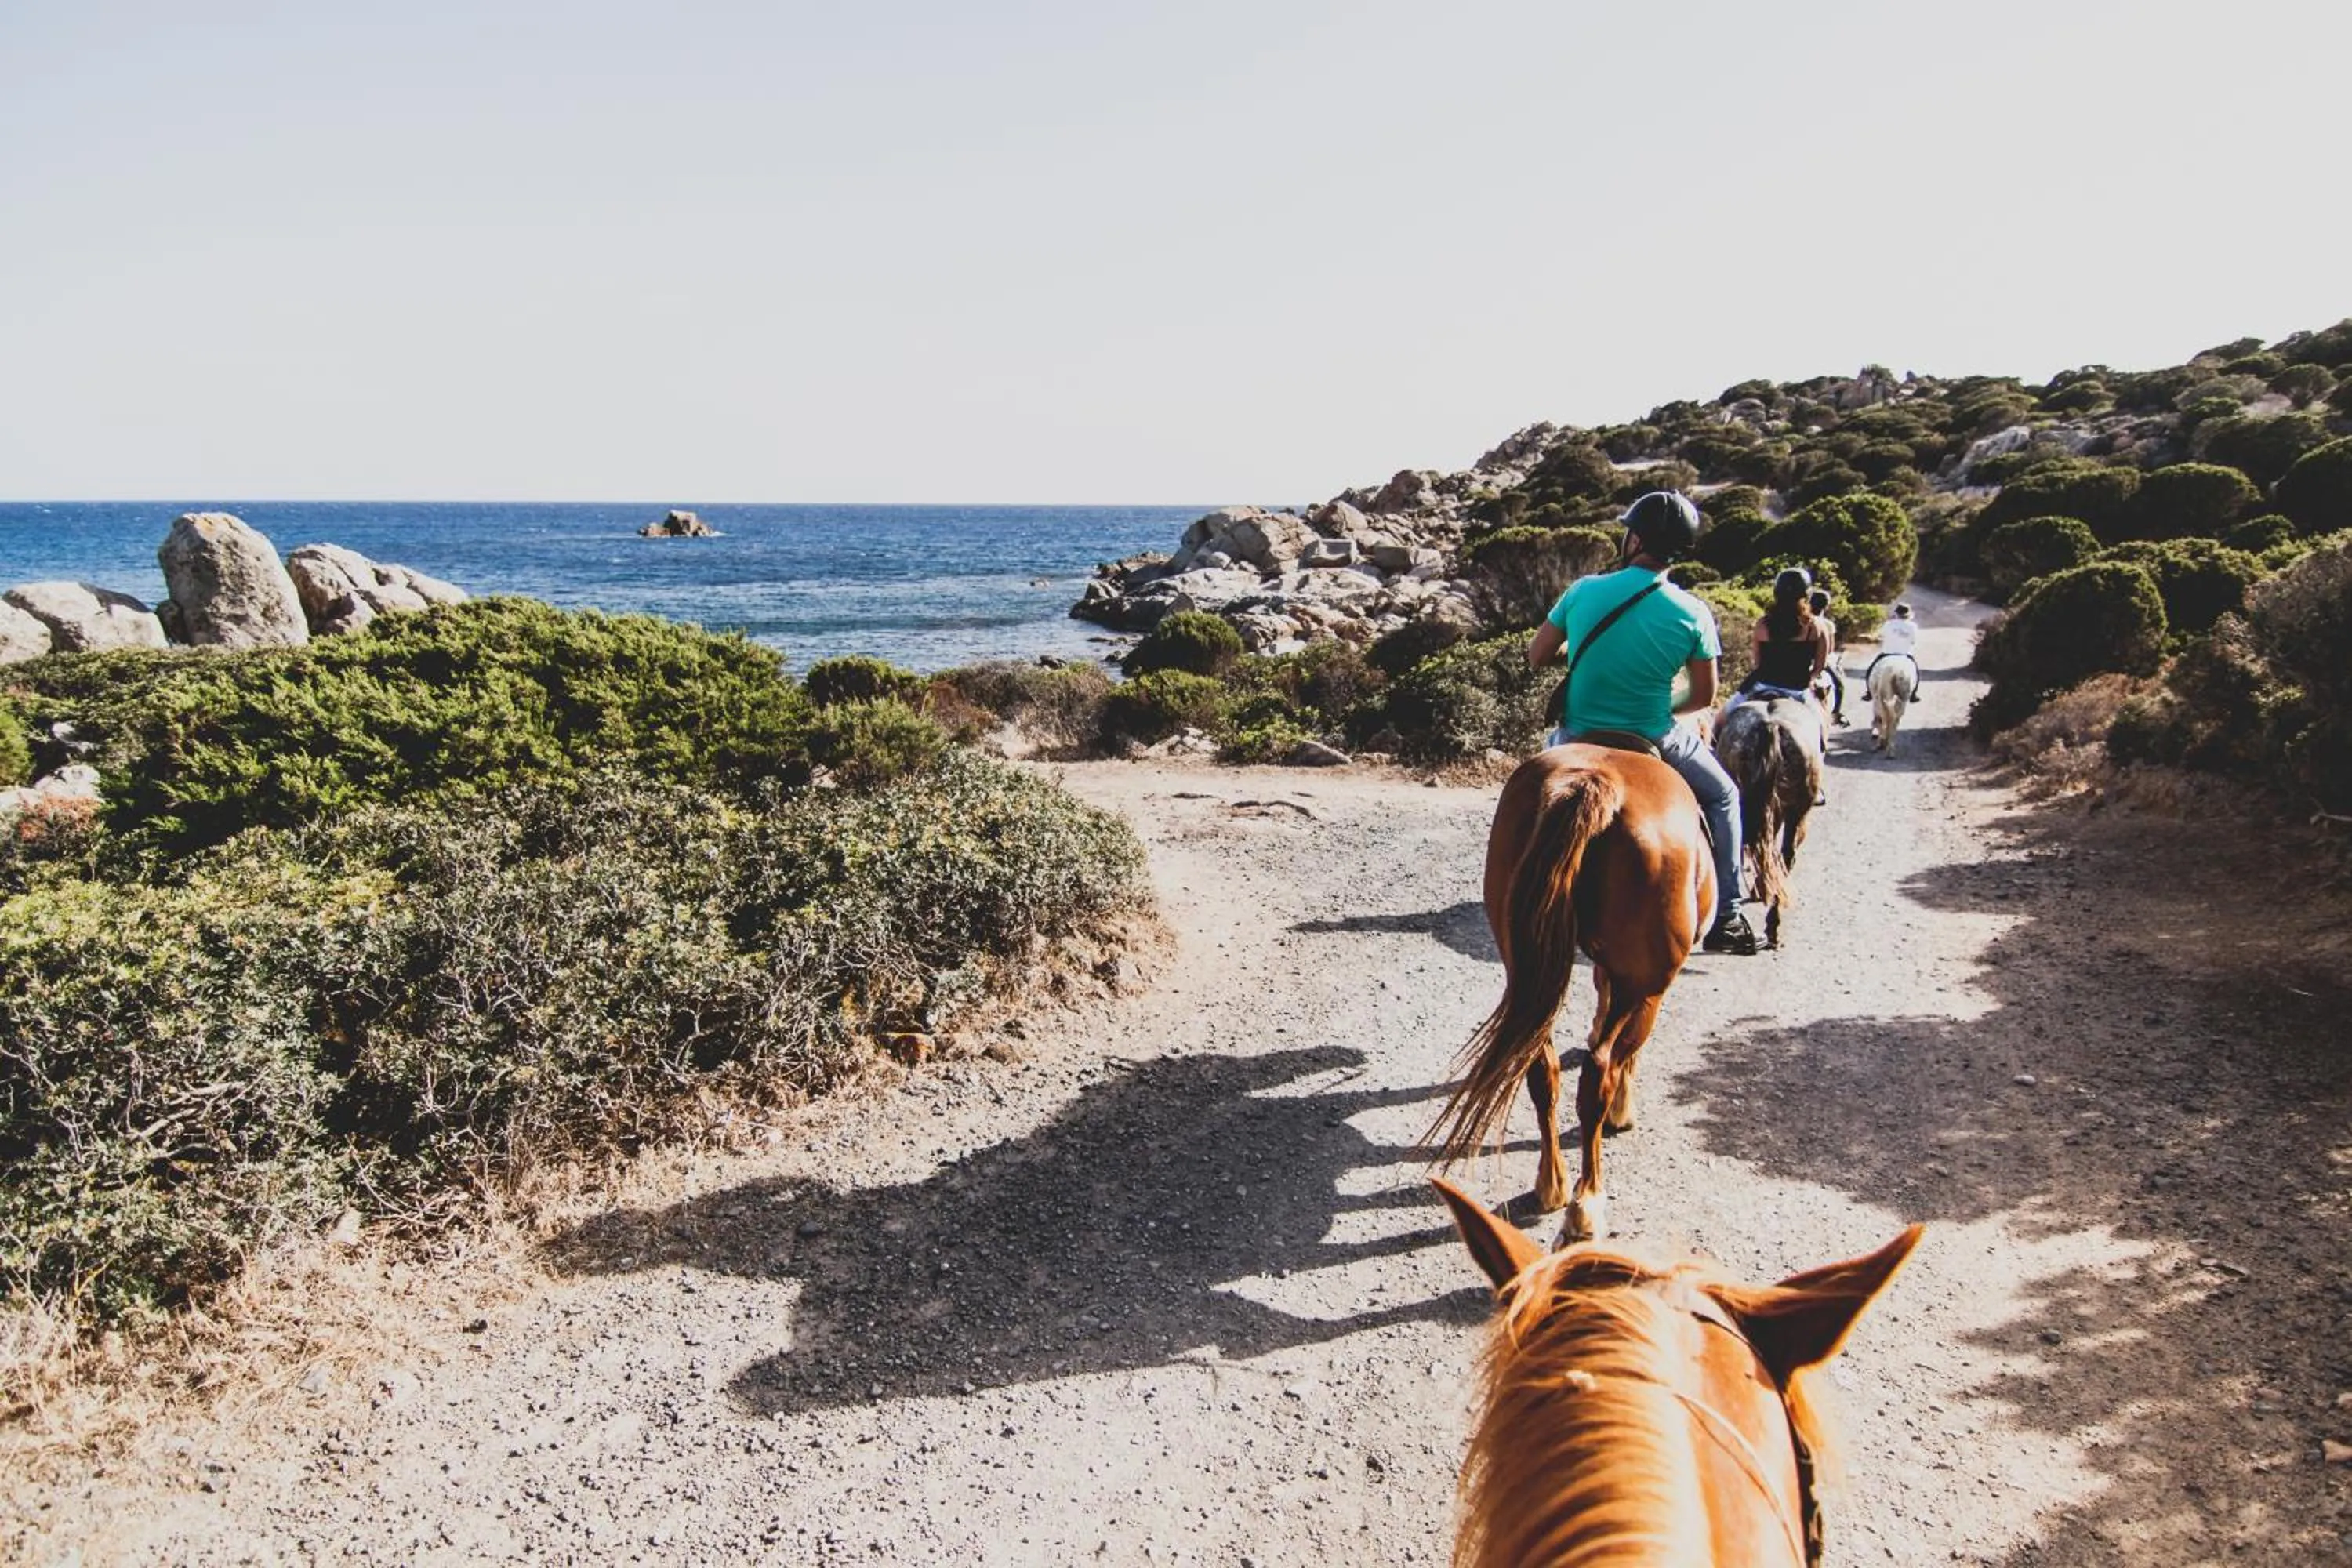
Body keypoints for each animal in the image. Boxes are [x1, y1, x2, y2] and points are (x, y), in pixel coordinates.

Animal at [1431, 743, 1714, 1242]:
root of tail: (1592, 784)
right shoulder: (1645, 992)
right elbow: (1626, 1051)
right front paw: (1624, 1109)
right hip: (1642, 982)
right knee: (1597, 1072)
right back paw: (1586, 1203)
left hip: (1525, 967)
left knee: (1541, 1067)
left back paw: (1552, 1183)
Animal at [1868, 655, 1919, 759]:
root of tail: (1897, 672)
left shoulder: (1879, 704)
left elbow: (1880, 723)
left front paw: (1880, 743)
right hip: (1901, 698)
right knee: (1894, 721)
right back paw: (1890, 750)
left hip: (1887, 697)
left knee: (1890, 721)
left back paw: (1887, 749)